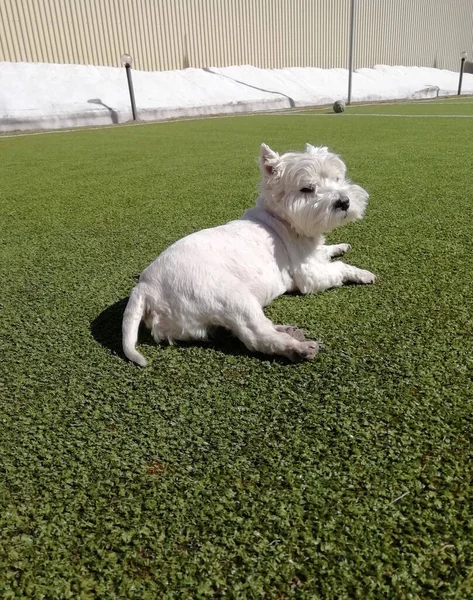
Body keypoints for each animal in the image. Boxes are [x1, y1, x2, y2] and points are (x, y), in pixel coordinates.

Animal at [123, 142, 374, 364]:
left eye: (337, 179)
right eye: (307, 189)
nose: (344, 201)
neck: (283, 221)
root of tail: (145, 287)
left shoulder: (315, 253)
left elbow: (326, 251)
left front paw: (340, 246)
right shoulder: (309, 275)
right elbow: (339, 268)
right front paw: (363, 273)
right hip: (230, 296)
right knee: (256, 336)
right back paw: (297, 347)